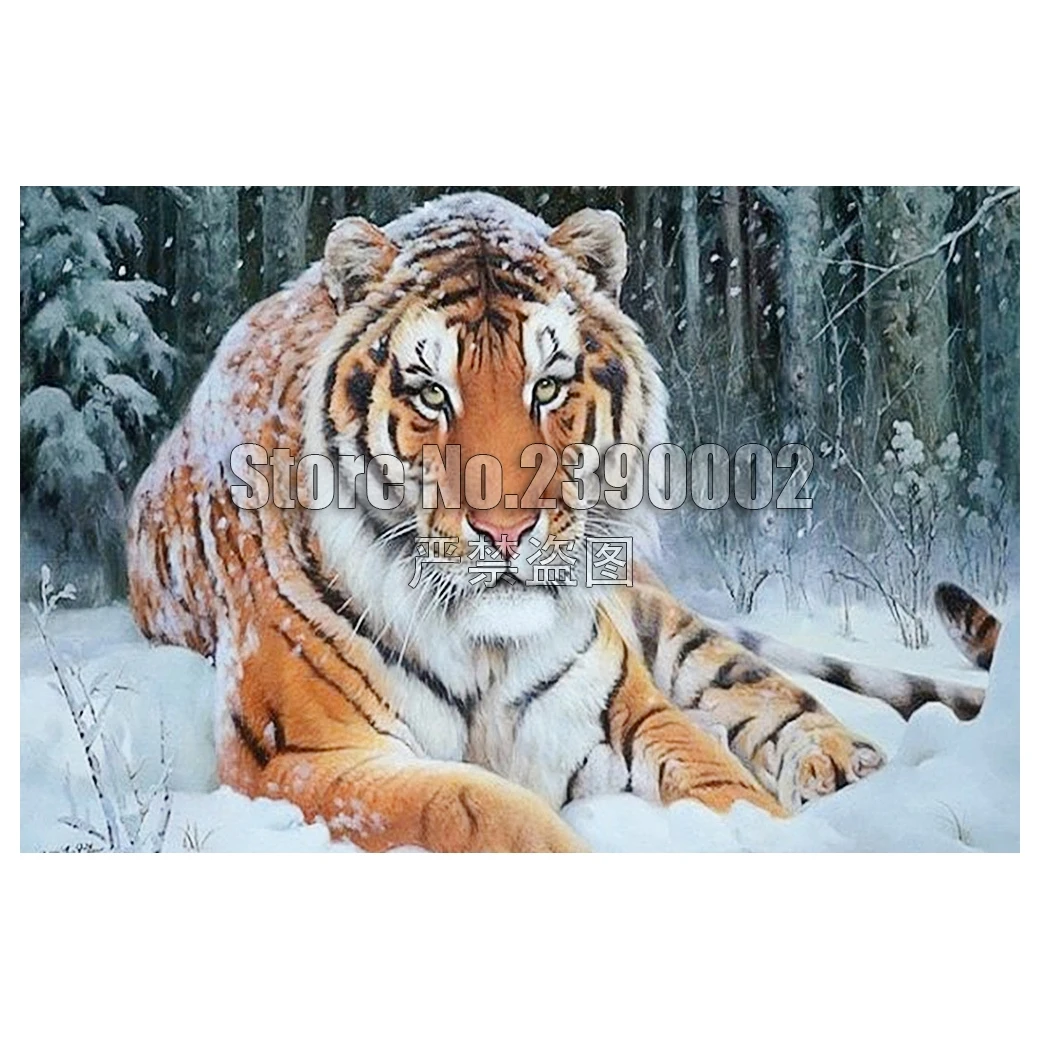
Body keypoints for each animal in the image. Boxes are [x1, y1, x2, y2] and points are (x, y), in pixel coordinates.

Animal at [127, 191, 992, 852]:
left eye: (546, 386)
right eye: (430, 393)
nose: (506, 532)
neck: (482, 648)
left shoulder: (623, 709)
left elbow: (721, 778)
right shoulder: (305, 754)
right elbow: (475, 809)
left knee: (758, 686)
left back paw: (845, 770)